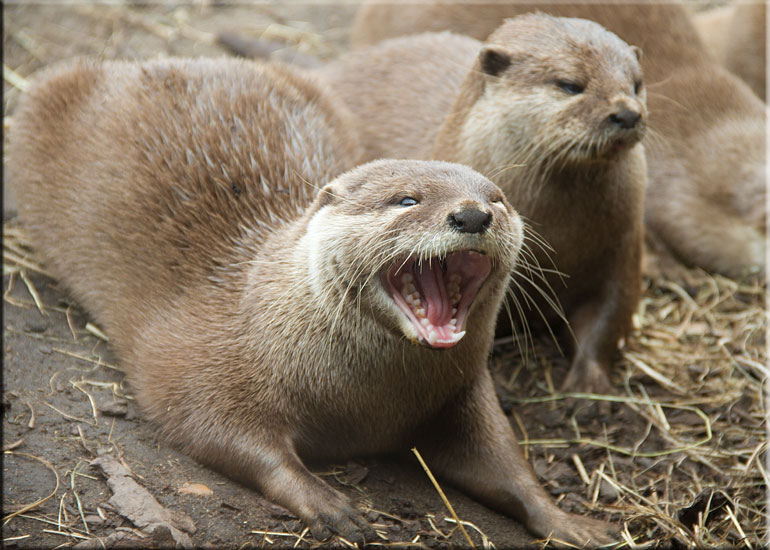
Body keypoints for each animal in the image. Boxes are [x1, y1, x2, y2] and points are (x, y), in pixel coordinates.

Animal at [8, 57, 617, 545]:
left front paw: (570, 520)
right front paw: (326, 501)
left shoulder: (463, 391)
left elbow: (507, 463)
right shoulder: (201, 365)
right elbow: (217, 429)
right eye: (407, 199)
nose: (473, 214)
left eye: (499, 197)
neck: (364, 403)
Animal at [317, 14, 647, 393]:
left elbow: (608, 319)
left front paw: (588, 387)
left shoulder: (622, 247)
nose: (627, 114)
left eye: (637, 84)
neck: (561, 236)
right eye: (569, 84)